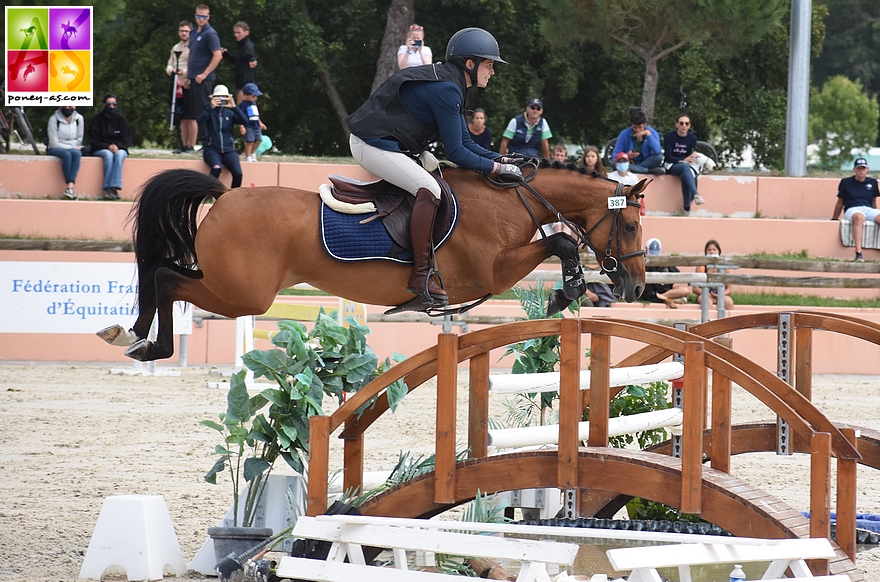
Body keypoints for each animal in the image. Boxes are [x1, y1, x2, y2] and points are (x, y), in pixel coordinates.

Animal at [98, 162, 648, 362]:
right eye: (630, 225)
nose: (637, 287)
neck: (510, 201)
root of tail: (226, 194)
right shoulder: (494, 271)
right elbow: (562, 246)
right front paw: (566, 290)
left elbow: (560, 244)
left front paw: (565, 291)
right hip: (242, 294)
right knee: (166, 277)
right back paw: (150, 343)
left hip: (229, 284)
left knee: (166, 274)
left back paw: (136, 334)